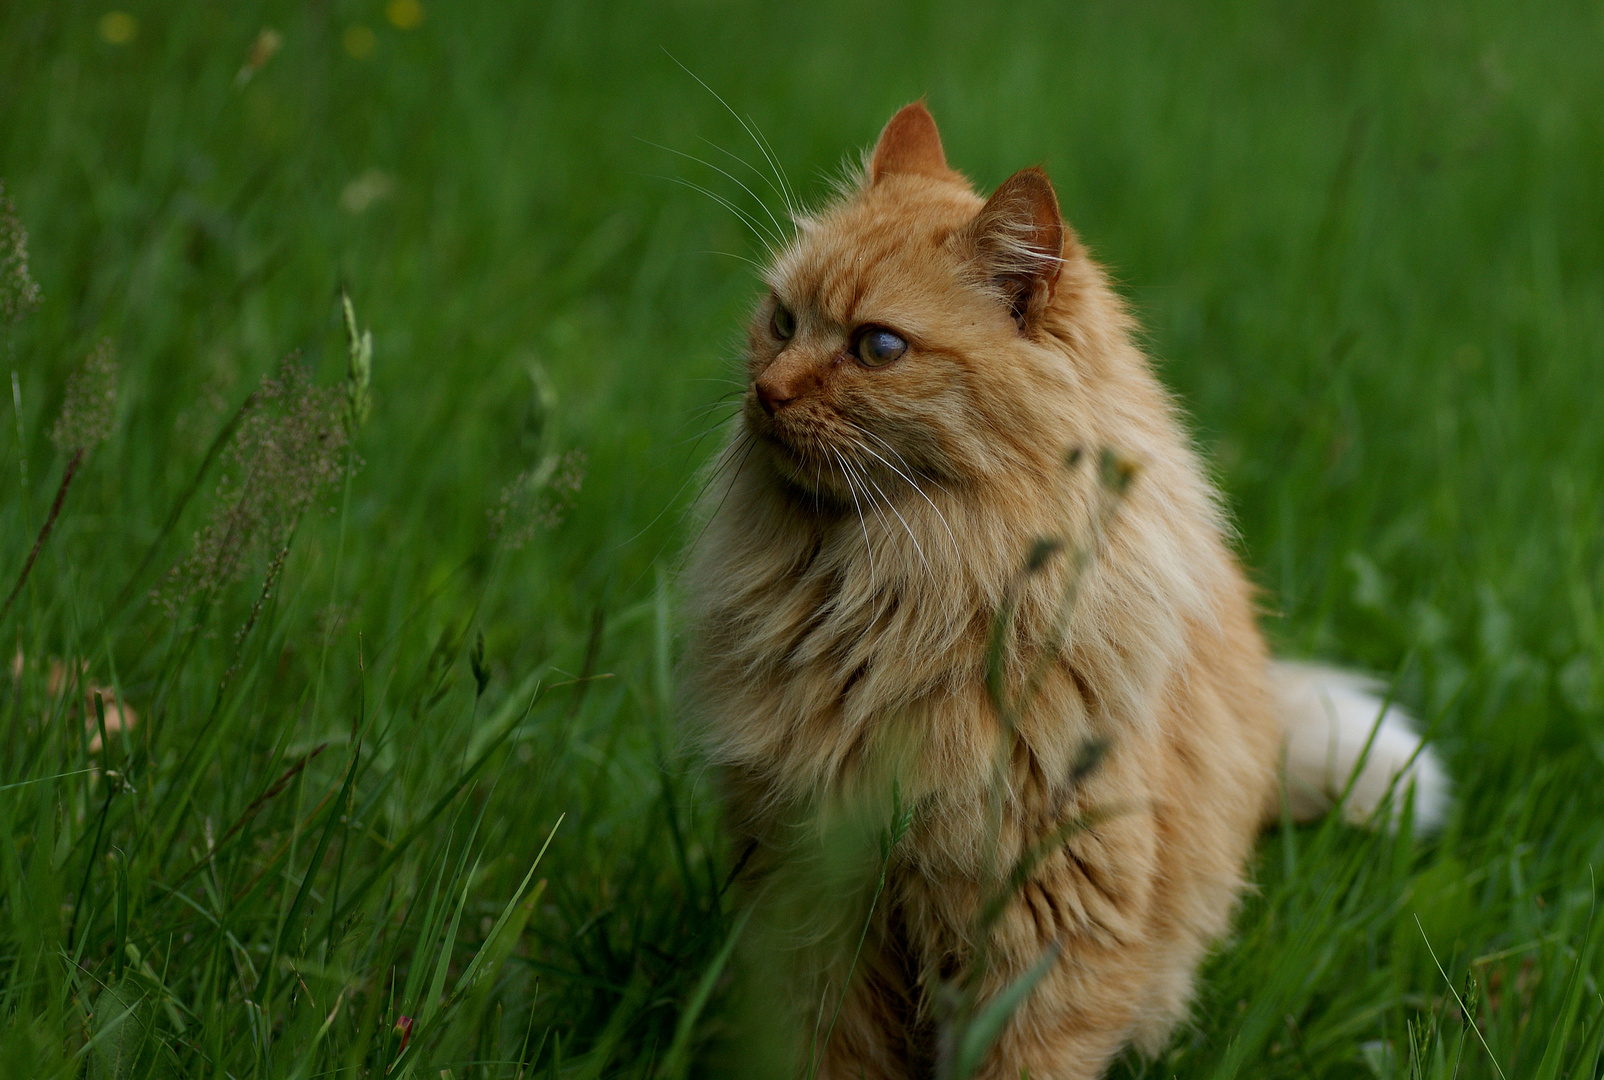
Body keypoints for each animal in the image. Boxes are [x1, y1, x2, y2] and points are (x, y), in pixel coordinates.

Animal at [683, 103, 1450, 1078]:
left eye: (877, 347)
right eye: (781, 321)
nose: (766, 391)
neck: (887, 598)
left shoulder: (1048, 920)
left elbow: (1023, 1058)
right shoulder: (814, 906)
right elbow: (831, 1054)